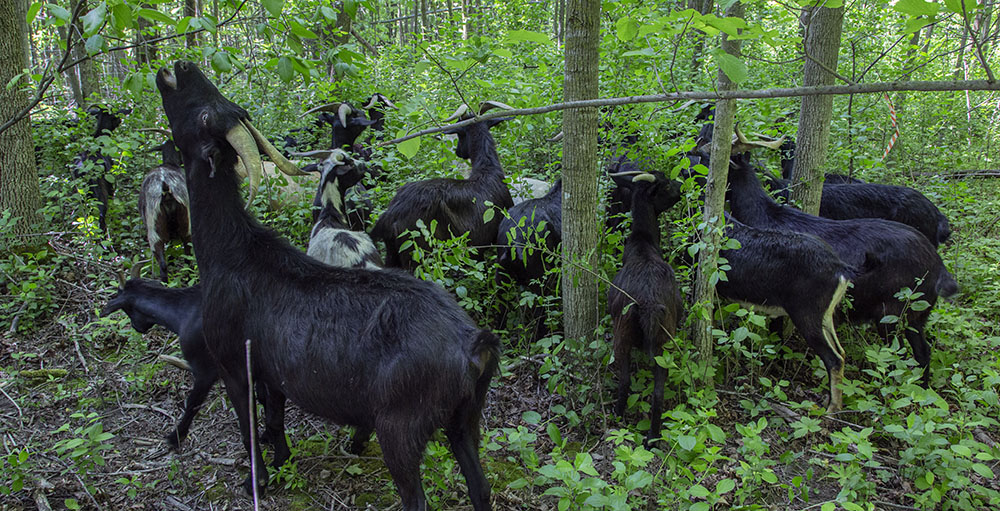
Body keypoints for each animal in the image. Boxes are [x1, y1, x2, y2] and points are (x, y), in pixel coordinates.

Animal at [156, 60, 500, 508]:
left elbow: (249, 427)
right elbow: (275, 418)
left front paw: (258, 481)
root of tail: (473, 345)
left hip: (401, 427)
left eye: (204, 116)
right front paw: (282, 461)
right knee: (480, 488)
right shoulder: (273, 372)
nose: (181, 66)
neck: (234, 254)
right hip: (465, 420)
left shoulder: (234, 364)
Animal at [374, 103, 516, 272]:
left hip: (392, 253)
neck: (487, 168)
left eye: (460, 134)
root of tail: (391, 216)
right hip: (417, 253)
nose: (458, 152)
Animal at [604, 172, 684, 444]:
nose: (681, 188)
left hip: (625, 336)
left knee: (626, 380)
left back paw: (619, 417)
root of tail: (648, 304)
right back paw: (652, 437)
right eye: (666, 185)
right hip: (663, 343)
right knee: (658, 392)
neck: (643, 241)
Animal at [728, 150, 960, 386]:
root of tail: (938, 267)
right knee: (922, 352)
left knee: (897, 354)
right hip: (916, 313)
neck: (766, 215)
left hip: (891, 314)